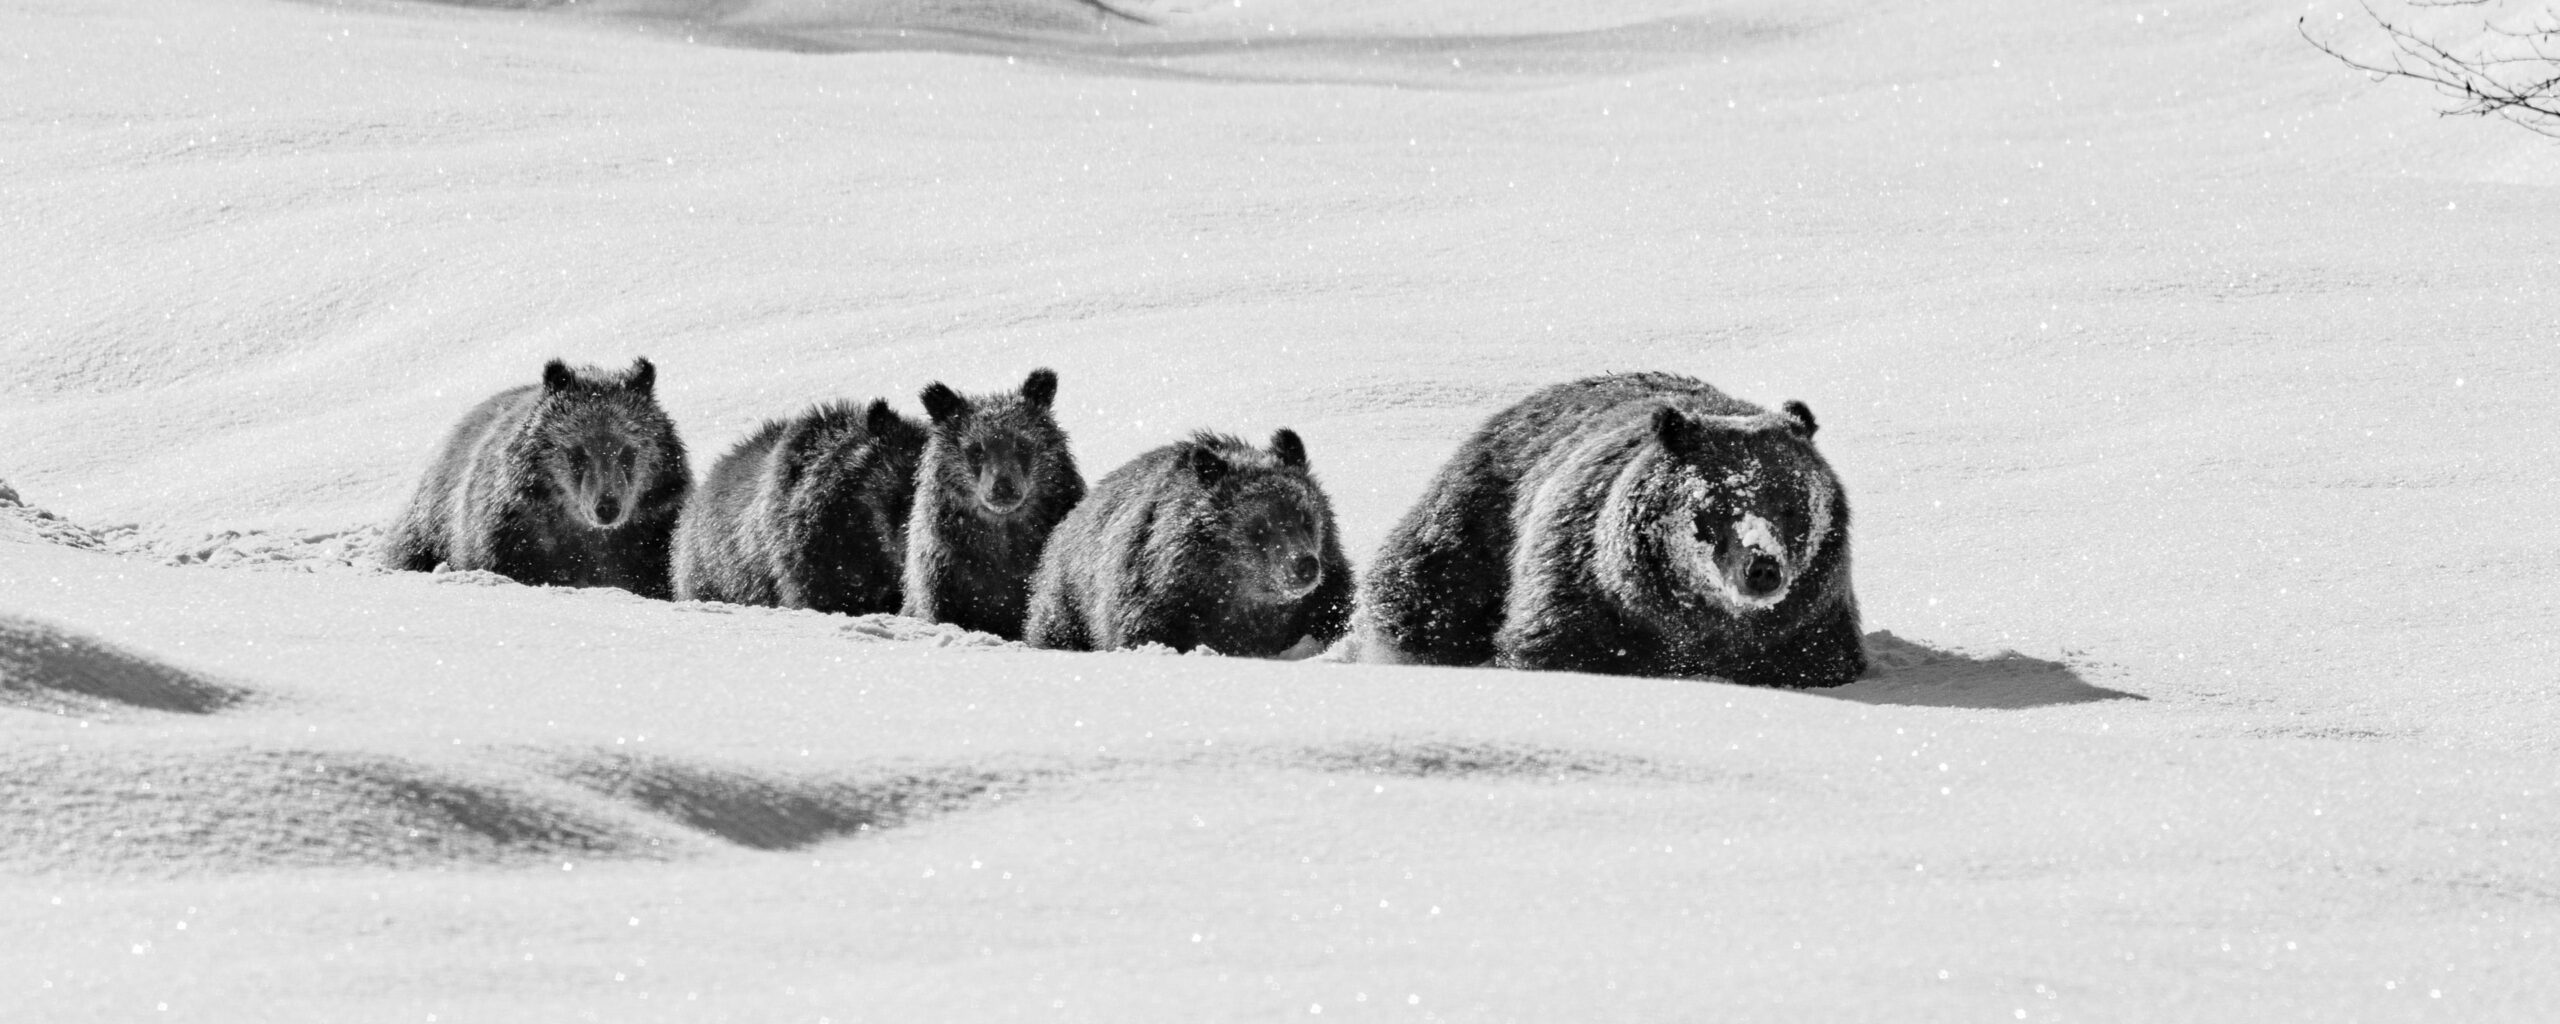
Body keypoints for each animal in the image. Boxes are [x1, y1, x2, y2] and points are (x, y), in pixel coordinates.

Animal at [1024, 430, 1361, 655]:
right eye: (1259, 528)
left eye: (1306, 518)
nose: (1304, 566)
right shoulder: (1154, 602)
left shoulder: (1324, 596)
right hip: (1068, 599)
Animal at [1361, 371, 1863, 686]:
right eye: (1717, 505)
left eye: (1792, 506)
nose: (1761, 568)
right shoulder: (1580, 599)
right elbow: (1554, 648)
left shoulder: (1807, 627)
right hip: (1474, 521)